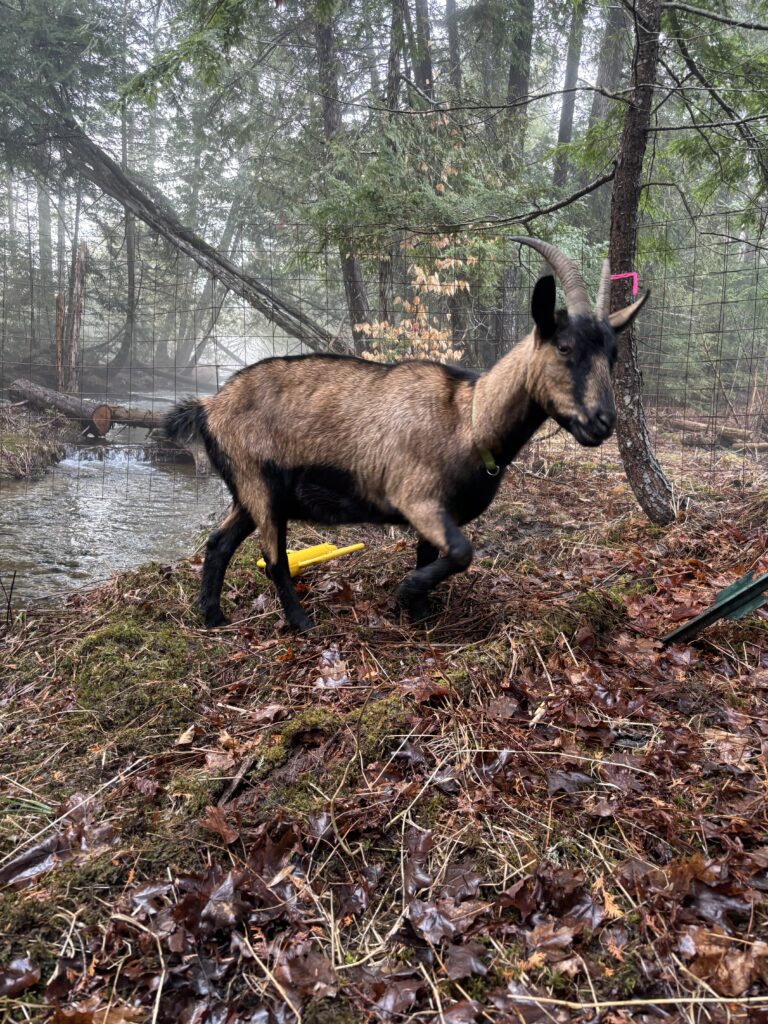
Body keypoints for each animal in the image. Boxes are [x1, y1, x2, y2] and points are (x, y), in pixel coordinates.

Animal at [164, 237, 648, 632]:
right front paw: (408, 592)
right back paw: (300, 623)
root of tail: (209, 406)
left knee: (219, 543)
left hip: (254, 492)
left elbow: (431, 553)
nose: (602, 423)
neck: (469, 418)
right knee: (275, 560)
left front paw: (420, 614)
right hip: (258, 484)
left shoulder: (436, 512)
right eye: (564, 347)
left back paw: (213, 616)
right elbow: (462, 552)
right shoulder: (415, 496)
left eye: (613, 354)